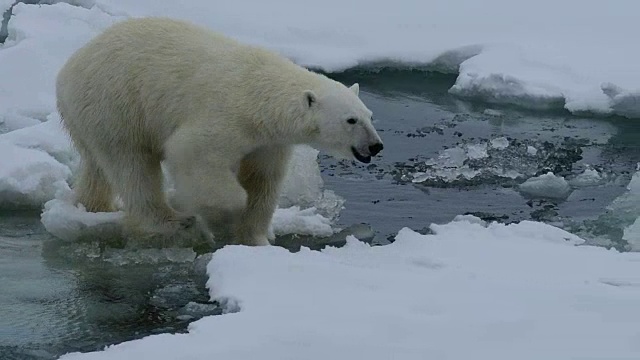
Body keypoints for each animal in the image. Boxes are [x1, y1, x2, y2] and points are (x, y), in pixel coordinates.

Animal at [55, 18, 382, 246]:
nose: (376, 146)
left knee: (98, 166)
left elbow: (262, 180)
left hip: (91, 116)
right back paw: (171, 220)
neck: (260, 97)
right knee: (132, 164)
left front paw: (255, 237)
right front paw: (223, 220)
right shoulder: (225, 115)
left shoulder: (268, 142)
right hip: (116, 104)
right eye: (351, 120)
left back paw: (93, 206)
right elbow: (195, 155)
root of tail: (68, 70)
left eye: (370, 116)